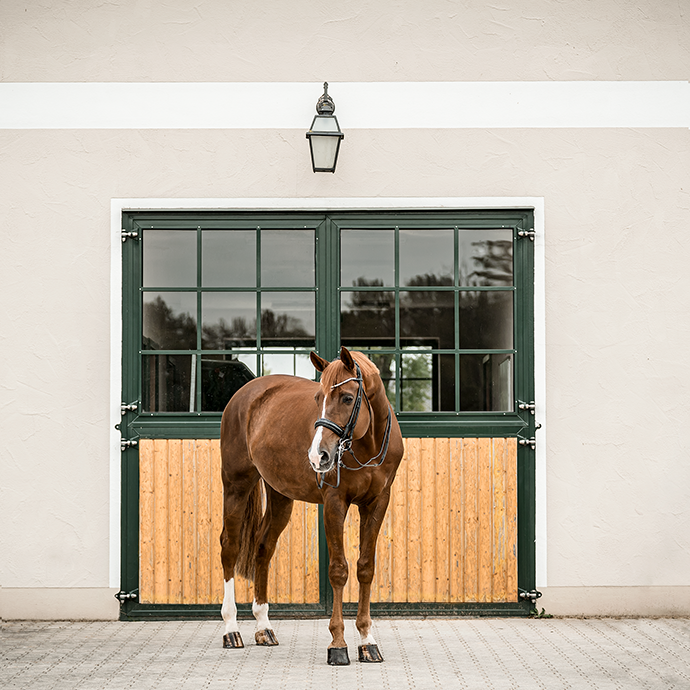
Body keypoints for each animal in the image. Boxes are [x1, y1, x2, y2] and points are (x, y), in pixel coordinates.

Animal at [219, 346, 404, 664]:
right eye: (318, 398)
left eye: (347, 398)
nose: (319, 456)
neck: (367, 444)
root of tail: (244, 394)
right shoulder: (334, 503)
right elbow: (339, 570)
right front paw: (338, 644)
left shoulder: (377, 503)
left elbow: (365, 568)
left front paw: (367, 641)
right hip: (236, 485)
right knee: (230, 547)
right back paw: (231, 629)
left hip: (280, 495)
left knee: (263, 548)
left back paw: (263, 626)